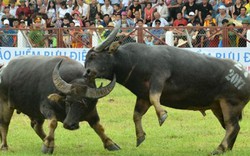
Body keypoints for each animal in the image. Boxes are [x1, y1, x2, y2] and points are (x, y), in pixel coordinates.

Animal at [84, 24, 250, 155]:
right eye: (86, 59)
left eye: (93, 56)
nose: (87, 72)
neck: (134, 60)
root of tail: (245, 73)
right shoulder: (142, 96)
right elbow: (136, 115)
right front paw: (140, 137)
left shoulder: (159, 78)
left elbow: (155, 97)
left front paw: (162, 115)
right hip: (218, 106)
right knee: (232, 127)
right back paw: (227, 148)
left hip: (230, 103)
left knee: (232, 126)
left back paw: (219, 149)